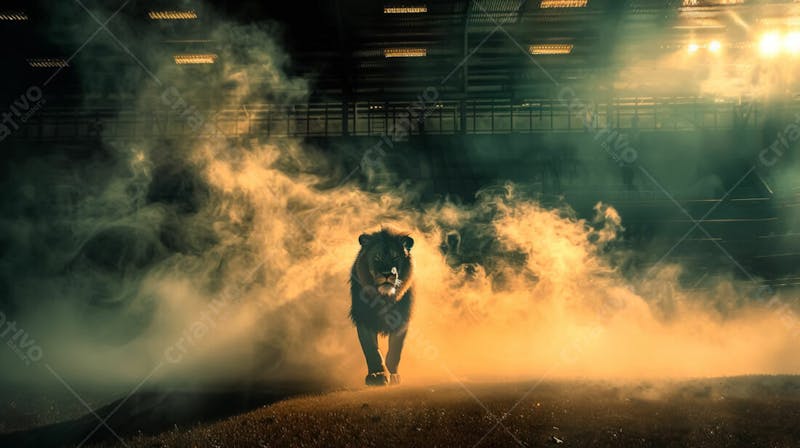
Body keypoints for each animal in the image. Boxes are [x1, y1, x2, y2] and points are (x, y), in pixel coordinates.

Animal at [348, 228, 416, 384]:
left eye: (395, 257)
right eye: (377, 257)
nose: (387, 273)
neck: (384, 297)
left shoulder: (402, 320)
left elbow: (395, 350)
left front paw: (394, 375)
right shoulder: (364, 318)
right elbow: (372, 350)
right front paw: (377, 375)